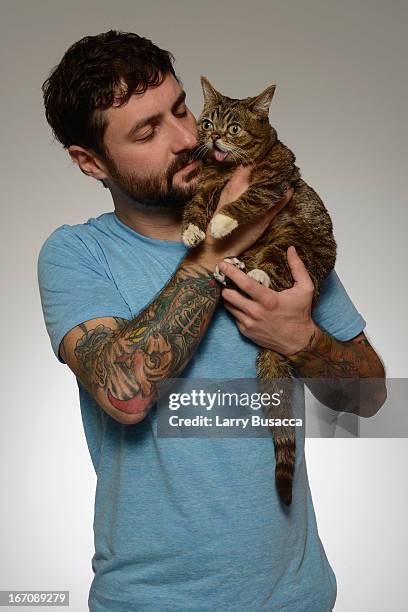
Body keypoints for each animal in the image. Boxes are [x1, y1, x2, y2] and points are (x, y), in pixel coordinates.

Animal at [181, 77, 334, 506]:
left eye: (233, 128)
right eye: (207, 123)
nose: (214, 136)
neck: (227, 168)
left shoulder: (274, 184)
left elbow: (247, 199)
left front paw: (221, 222)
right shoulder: (206, 184)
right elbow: (195, 203)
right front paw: (194, 229)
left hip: (294, 240)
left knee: (278, 269)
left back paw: (259, 276)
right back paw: (231, 266)